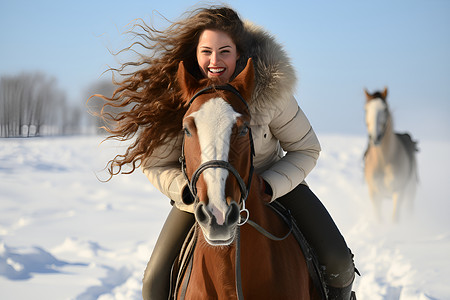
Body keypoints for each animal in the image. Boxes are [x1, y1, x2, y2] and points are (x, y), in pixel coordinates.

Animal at [362, 88, 418, 221]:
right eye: (366, 109)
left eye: (384, 109)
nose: (375, 137)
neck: (383, 160)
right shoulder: (374, 194)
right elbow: (379, 219)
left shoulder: (398, 192)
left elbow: (395, 219)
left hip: (410, 192)